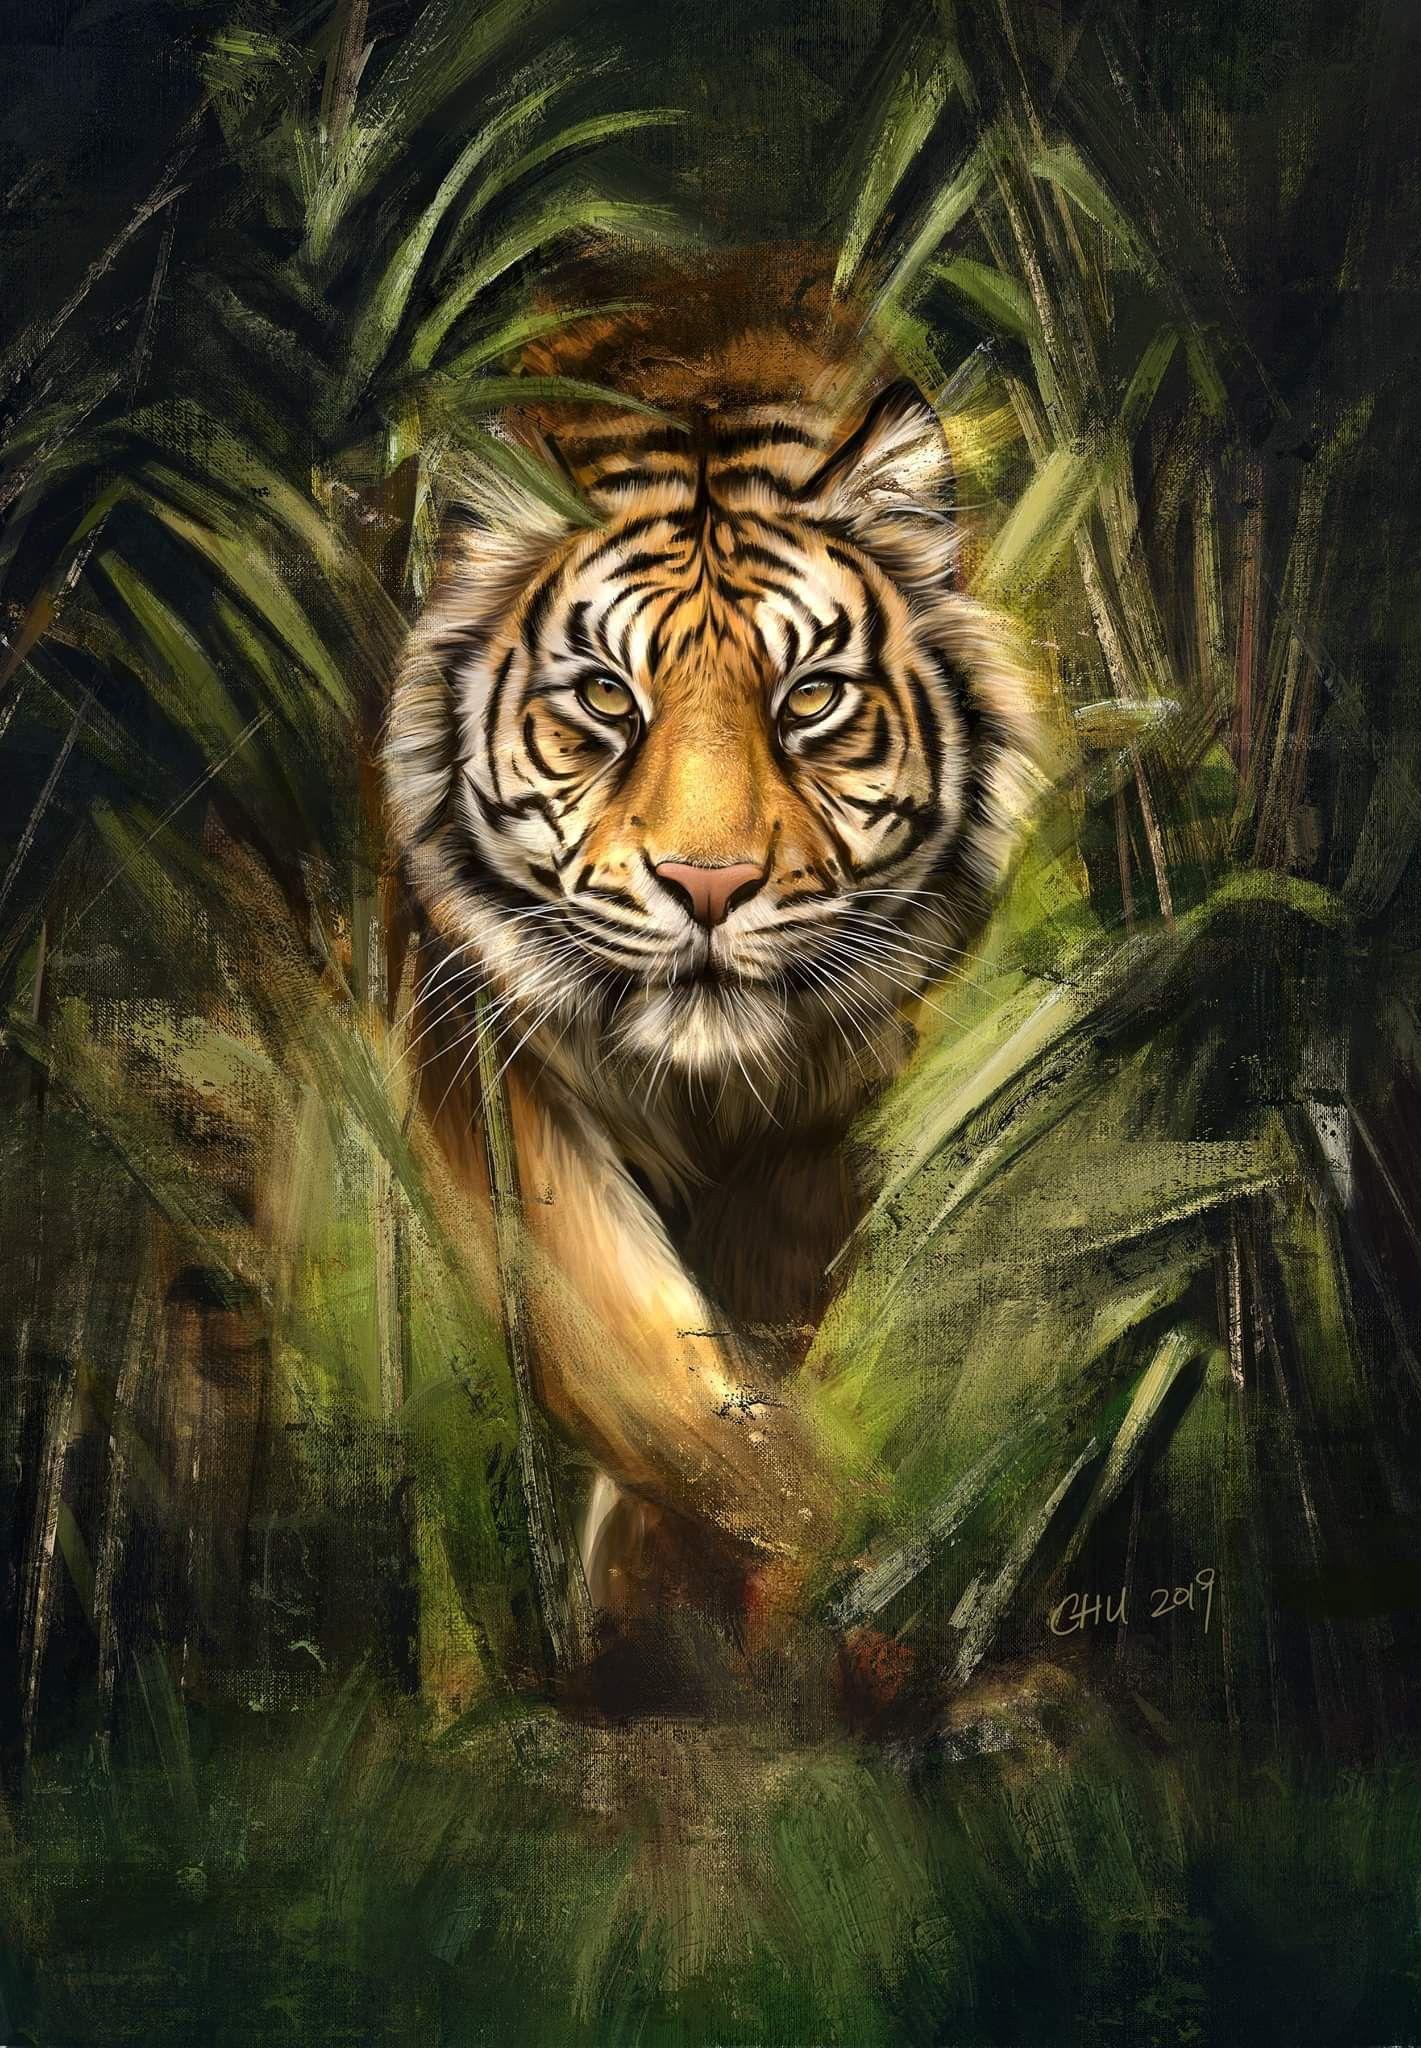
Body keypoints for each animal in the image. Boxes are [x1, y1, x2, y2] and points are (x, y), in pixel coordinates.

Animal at [383, 256, 1045, 1658]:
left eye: (809, 698)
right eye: (603, 699)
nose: (706, 883)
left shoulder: (823, 1111)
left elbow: (739, 1354)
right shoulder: (481, 1055)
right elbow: (635, 1351)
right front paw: (829, 1545)